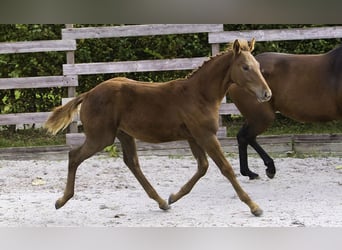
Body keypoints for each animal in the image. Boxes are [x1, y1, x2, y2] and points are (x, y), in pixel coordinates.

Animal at [45, 38, 272, 215]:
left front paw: (174, 197)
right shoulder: (205, 135)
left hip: (124, 134)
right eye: (245, 67)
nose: (267, 94)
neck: (199, 94)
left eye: (258, 66)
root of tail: (88, 94)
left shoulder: (194, 137)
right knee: (74, 156)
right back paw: (61, 201)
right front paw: (254, 207)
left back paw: (162, 202)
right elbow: (225, 168)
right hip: (101, 137)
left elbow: (203, 167)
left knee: (132, 163)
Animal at [228, 44, 342, 179]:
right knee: (246, 136)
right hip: (262, 116)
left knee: (243, 137)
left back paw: (250, 172)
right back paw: (267, 169)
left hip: (254, 116)